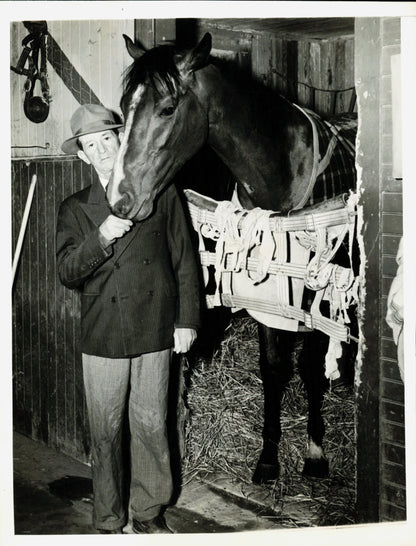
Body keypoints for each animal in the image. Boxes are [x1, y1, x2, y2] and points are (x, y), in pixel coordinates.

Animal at [108, 31, 358, 482]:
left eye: (167, 108)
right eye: (124, 108)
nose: (121, 200)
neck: (283, 171)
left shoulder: (316, 299)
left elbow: (311, 370)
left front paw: (314, 452)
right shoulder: (267, 300)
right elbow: (273, 369)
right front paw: (268, 457)